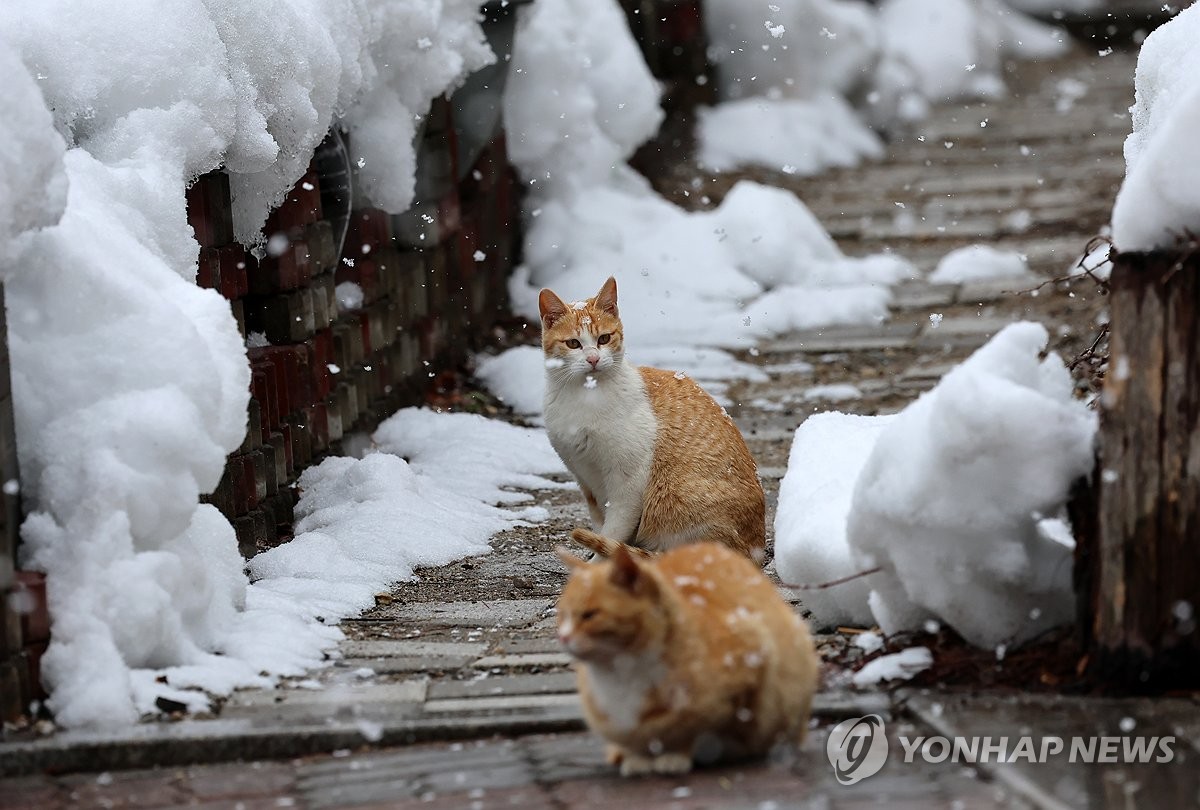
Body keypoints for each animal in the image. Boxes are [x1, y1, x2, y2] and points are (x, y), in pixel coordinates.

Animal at [540, 276, 763, 561]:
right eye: (573, 344)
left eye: (604, 338)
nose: (593, 359)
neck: (584, 396)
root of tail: (753, 549)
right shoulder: (586, 479)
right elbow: (601, 525)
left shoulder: (629, 481)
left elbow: (613, 531)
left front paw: (600, 562)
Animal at [556, 542, 820, 777]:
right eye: (563, 615)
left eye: (589, 615)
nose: (563, 636)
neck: (622, 673)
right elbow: (636, 742)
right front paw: (638, 759)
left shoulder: (753, 656)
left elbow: (697, 731)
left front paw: (675, 756)